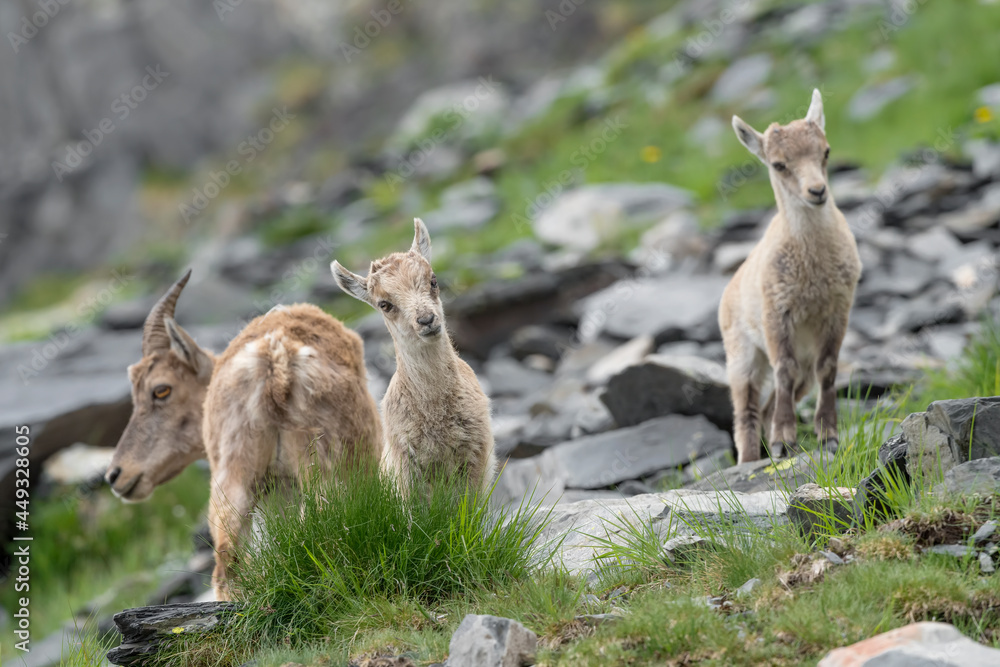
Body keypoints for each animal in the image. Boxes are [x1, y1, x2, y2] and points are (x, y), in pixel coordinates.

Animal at [106, 271, 381, 599]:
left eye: (161, 390)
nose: (116, 475)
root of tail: (274, 359)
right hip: (323, 463)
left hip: (233, 472)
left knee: (228, 561)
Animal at [331, 219, 497, 496]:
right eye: (384, 304)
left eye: (433, 280)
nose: (427, 320)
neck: (435, 413)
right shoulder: (406, 467)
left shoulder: (477, 455)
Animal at [719, 89, 862, 464]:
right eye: (778, 164)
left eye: (825, 151)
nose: (817, 191)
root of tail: (728, 291)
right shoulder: (777, 313)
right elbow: (783, 369)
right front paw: (784, 439)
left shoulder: (837, 310)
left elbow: (829, 369)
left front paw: (828, 435)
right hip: (742, 354)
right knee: (747, 409)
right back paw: (751, 458)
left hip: (803, 364)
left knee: (772, 402)